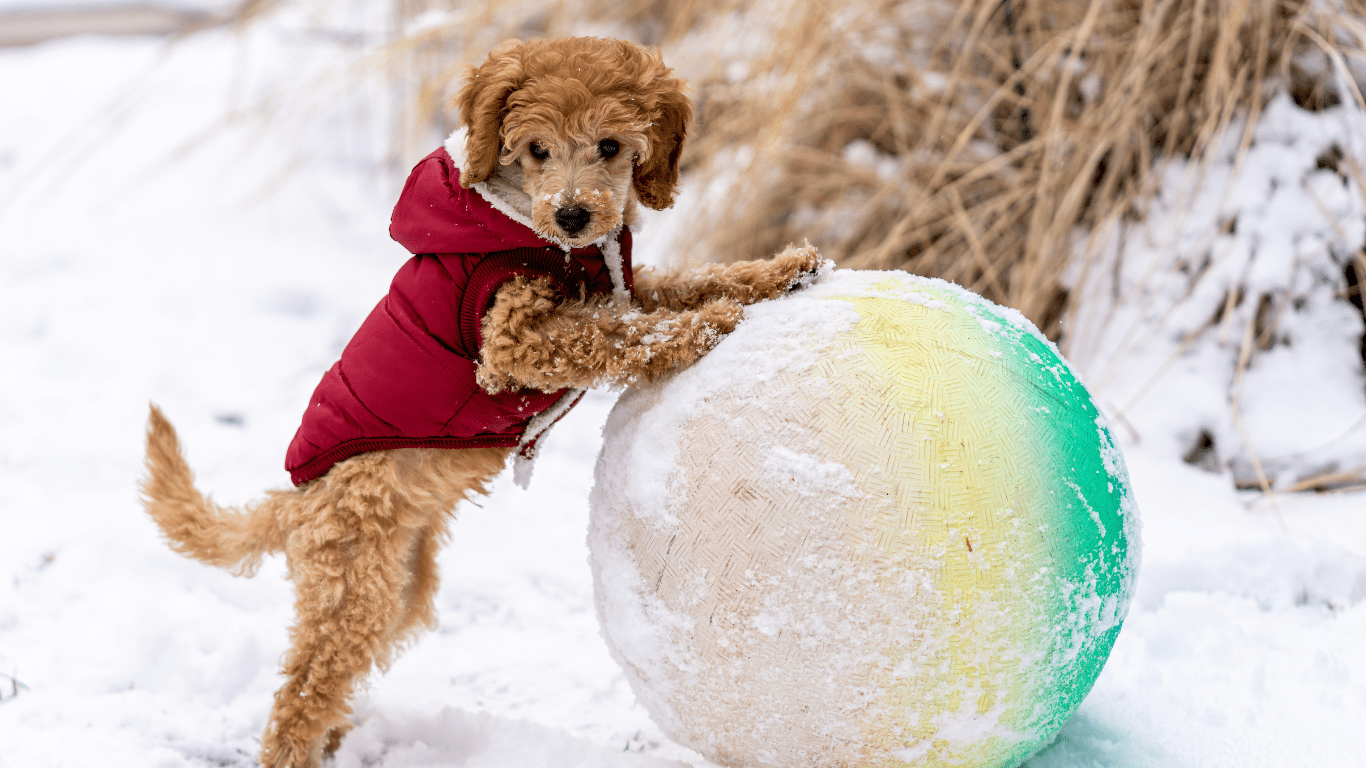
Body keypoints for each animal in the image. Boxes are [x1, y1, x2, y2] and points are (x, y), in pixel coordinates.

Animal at [138, 35, 819, 765]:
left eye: (609, 145)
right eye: (537, 149)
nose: (572, 214)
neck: (538, 234)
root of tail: (294, 505)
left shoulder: (619, 286)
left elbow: (684, 283)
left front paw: (780, 271)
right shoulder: (511, 342)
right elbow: (614, 334)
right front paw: (705, 326)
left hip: (397, 589)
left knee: (335, 676)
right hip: (352, 584)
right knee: (302, 691)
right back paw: (296, 748)